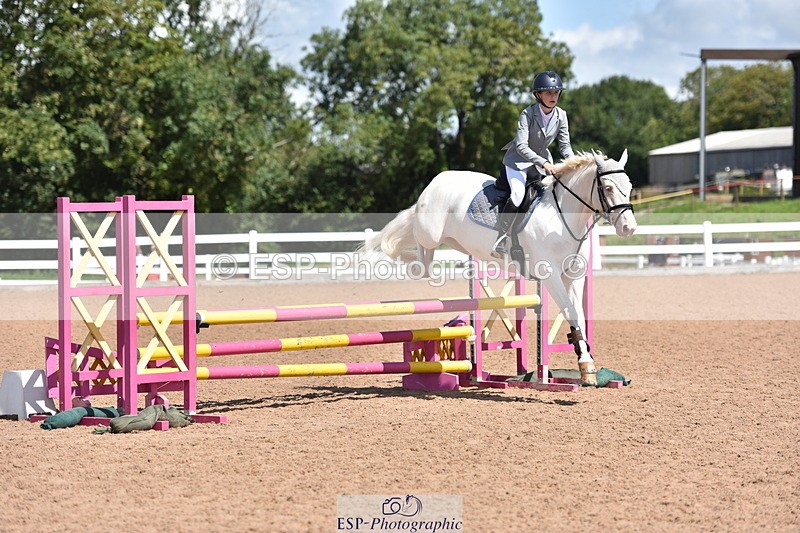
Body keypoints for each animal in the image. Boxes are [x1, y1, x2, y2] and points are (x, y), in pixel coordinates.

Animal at [359, 151, 637, 385]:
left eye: (630, 187)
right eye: (608, 187)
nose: (629, 228)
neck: (563, 219)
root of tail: (436, 180)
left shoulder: (574, 276)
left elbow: (577, 313)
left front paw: (586, 365)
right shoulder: (550, 277)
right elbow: (570, 312)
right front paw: (584, 366)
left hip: (455, 238)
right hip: (429, 232)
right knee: (419, 247)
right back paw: (411, 260)